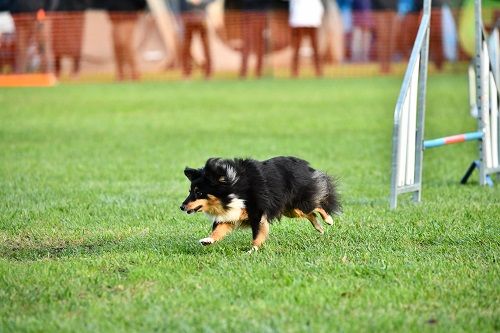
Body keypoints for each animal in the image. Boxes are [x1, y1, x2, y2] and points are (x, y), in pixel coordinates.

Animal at [180, 156, 340, 252]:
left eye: (199, 193)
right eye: (190, 191)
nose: (181, 207)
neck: (233, 187)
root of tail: (304, 164)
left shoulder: (257, 213)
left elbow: (257, 233)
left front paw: (252, 250)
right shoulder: (232, 213)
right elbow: (218, 229)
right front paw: (208, 240)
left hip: (298, 202)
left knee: (317, 205)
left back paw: (328, 220)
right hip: (290, 209)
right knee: (311, 213)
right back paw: (319, 228)